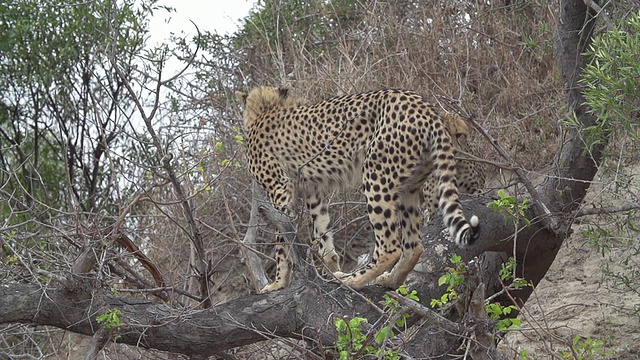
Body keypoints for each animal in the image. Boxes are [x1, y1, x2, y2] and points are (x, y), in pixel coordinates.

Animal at [236, 86, 480, 292]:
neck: (264, 109)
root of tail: (424, 107)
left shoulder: (280, 188)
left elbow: (281, 240)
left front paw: (279, 282)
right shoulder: (314, 190)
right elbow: (322, 232)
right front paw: (331, 269)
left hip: (375, 175)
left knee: (389, 246)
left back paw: (353, 280)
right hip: (409, 186)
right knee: (414, 245)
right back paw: (390, 280)